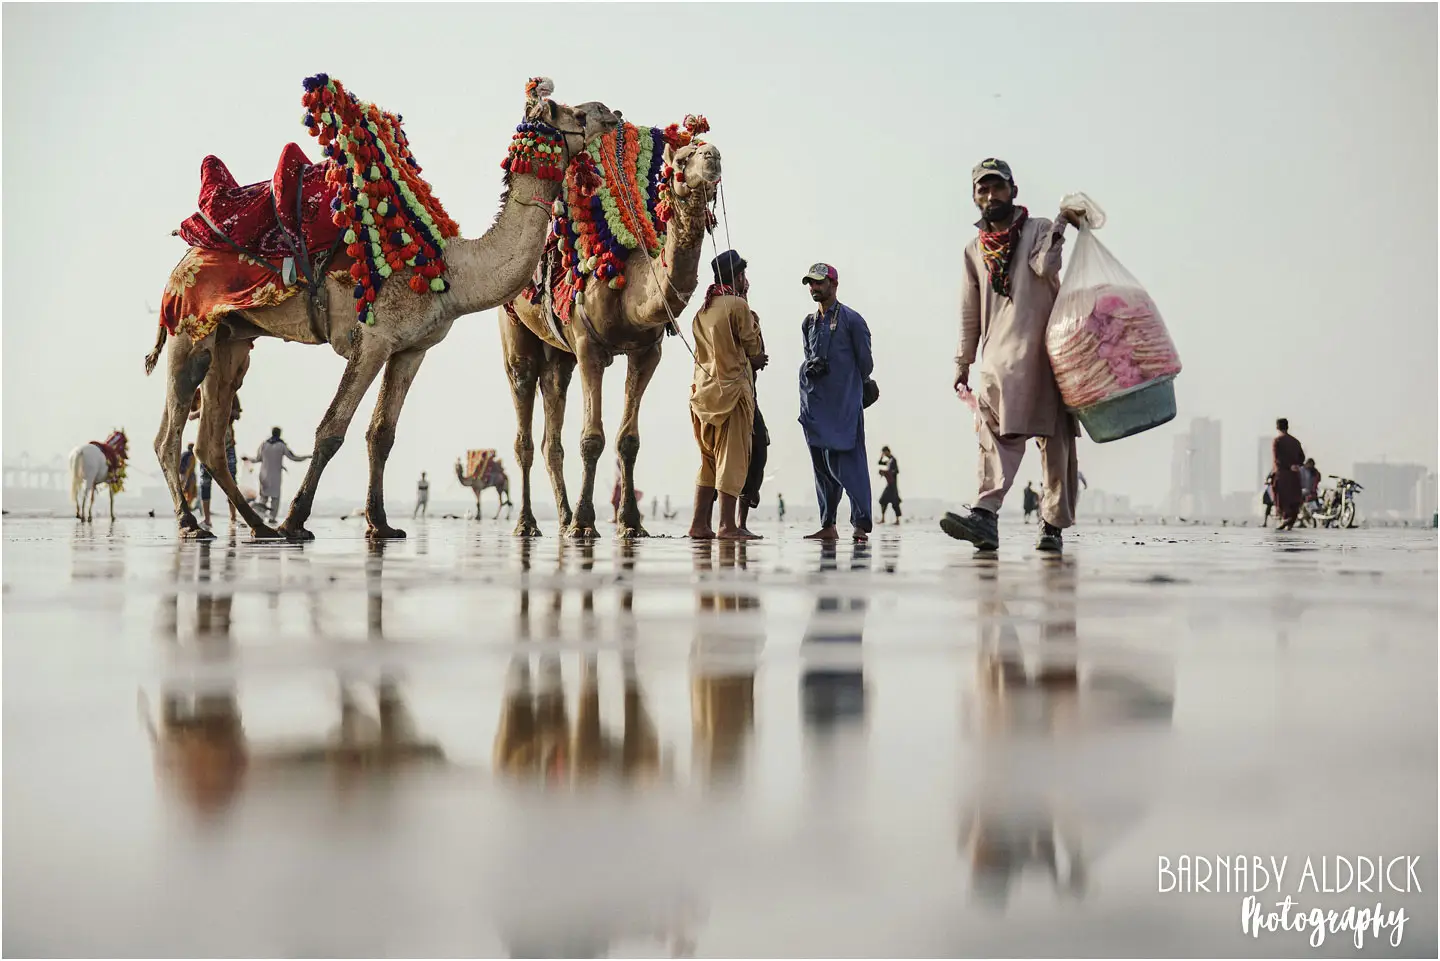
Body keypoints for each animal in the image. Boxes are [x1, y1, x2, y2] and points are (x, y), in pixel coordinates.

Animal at [144, 79, 621, 542]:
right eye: (567, 111)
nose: (610, 111)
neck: (454, 272)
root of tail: (181, 264)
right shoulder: (372, 339)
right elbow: (331, 429)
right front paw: (296, 521)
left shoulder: (411, 348)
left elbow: (381, 434)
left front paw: (381, 524)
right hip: (189, 329)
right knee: (169, 436)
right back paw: (194, 523)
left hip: (233, 339)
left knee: (209, 439)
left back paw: (257, 526)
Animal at [500, 123, 722, 537]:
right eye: (683, 160)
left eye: (713, 151)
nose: (712, 156)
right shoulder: (589, 346)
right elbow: (592, 439)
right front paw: (586, 524)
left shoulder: (647, 351)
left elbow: (627, 441)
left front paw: (630, 524)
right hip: (514, 328)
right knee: (524, 424)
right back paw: (528, 523)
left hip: (560, 354)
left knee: (551, 428)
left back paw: (563, 516)